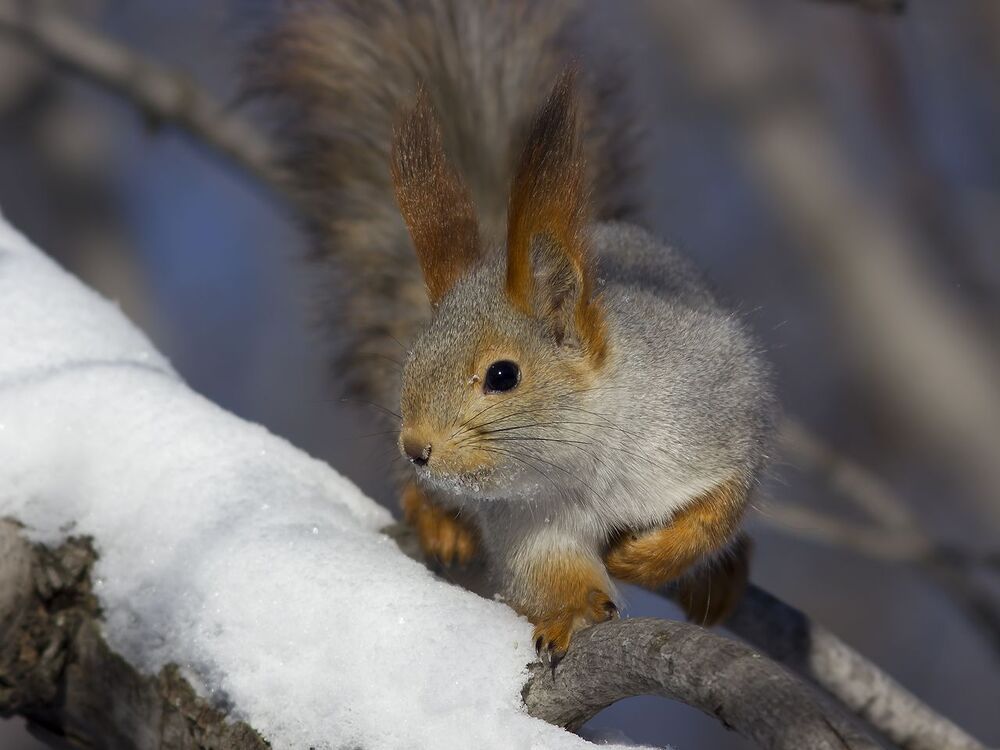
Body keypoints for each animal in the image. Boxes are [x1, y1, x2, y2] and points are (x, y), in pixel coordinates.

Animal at [254, 0, 774, 661]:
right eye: (410, 364)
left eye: (503, 375)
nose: (415, 448)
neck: (583, 461)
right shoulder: (529, 522)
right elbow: (547, 572)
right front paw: (571, 613)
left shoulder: (712, 417)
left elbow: (720, 506)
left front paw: (646, 558)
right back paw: (438, 520)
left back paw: (722, 576)